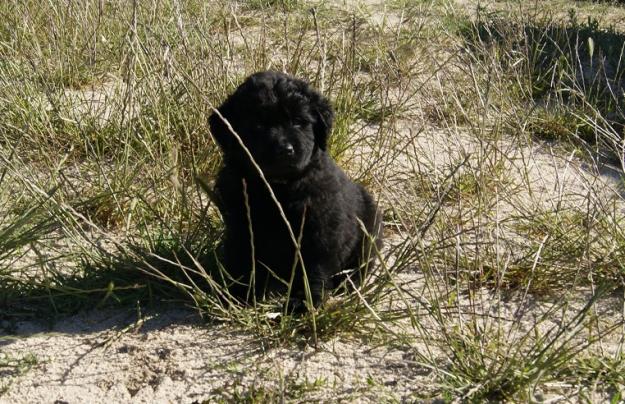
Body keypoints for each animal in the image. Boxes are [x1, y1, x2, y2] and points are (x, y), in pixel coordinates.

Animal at [210, 71, 380, 310]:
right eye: (258, 124)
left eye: (299, 122)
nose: (285, 149)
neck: (277, 186)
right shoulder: (241, 225)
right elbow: (243, 261)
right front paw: (240, 294)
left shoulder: (318, 231)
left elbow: (312, 270)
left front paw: (302, 301)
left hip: (369, 230)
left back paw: (348, 283)